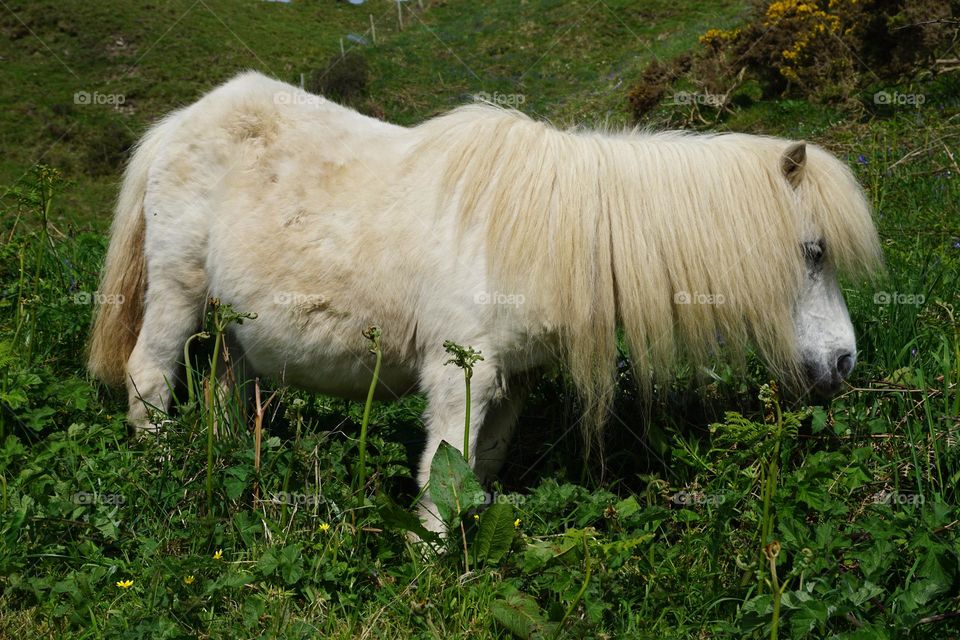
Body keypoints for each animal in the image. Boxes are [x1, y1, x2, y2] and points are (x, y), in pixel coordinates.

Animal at [88, 71, 882, 532]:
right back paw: (165, 481)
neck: (551, 230)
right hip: (178, 295)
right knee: (150, 379)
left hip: (238, 333)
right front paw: (431, 569)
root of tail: (179, 124)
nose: (843, 364)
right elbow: (444, 474)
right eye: (814, 251)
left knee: (227, 399)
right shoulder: (456, 375)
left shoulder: (513, 381)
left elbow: (481, 470)